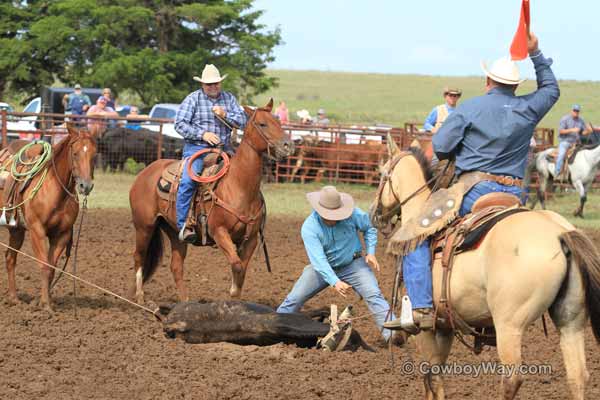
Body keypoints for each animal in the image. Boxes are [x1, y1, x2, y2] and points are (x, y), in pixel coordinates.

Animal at [0, 124, 97, 310]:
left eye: (94, 155)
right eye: (75, 153)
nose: (85, 186)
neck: (56, 191)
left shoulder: (61, 235)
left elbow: (51, 268)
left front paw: (45, 301)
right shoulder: (37, 231)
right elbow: (44, 265)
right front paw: (45, 305)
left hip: (16, 231)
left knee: (10, 258)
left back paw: (14, 298)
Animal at [129, 99, 292, 304]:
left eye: (278, 121)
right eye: (262, 124)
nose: (288, 145)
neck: (238, 186)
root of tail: (144, 173)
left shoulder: (251, 239)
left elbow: (241, 272)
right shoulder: (219, 232)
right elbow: (237, 266)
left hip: (174, 231)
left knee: (176, 266)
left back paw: (186, 303)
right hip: (144, 226)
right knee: (138, 257)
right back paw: (140, 298)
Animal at [370, 136, 600, 398]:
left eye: (382, 174)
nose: (375, 213)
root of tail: (559, 232)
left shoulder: (426, 329)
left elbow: (431, 378)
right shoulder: (445, 326)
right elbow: (437, 376)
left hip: (510, 325)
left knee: (511, 379)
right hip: (571, 321)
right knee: (577, 376)